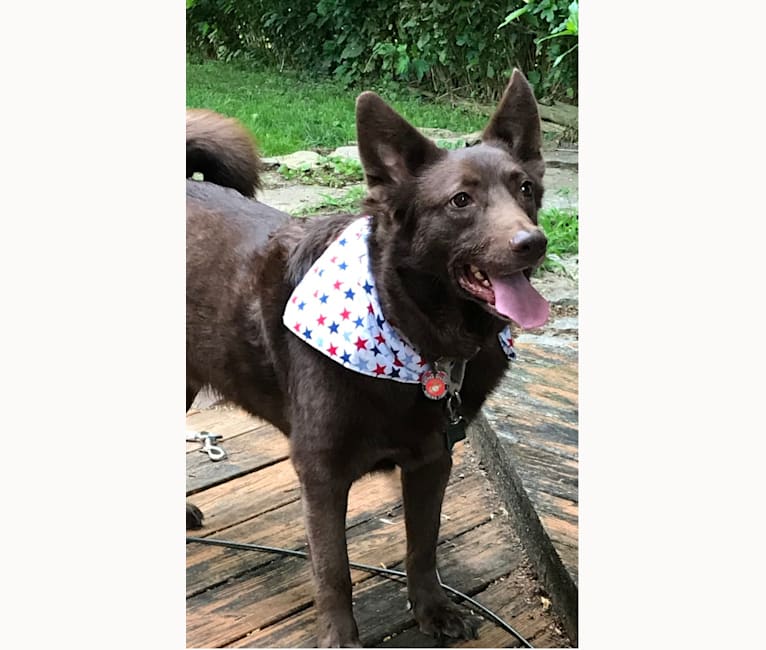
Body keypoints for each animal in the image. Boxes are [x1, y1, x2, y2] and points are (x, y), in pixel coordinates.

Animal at [186, 71, 548, 644]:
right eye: (460, 201)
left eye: (526, 189)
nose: (534, 242)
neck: (411, 333)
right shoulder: (321, 474)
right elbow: (334, 571)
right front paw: (340, 637)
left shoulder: (432, 460)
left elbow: (423, 546)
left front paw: (432, 611)